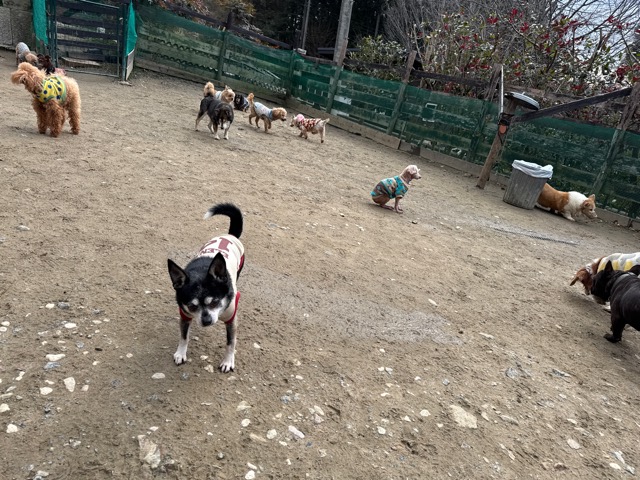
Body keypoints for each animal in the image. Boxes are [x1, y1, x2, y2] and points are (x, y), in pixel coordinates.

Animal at [167, 203, 245, 372]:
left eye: (215, 302)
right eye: (192, 306)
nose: (207, 321)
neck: (201, 270)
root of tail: (230, 235)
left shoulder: (231, 320)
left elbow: (231, 343)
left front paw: (228, 361)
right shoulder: (185, 316)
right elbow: (184, 336)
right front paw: (181, 353)